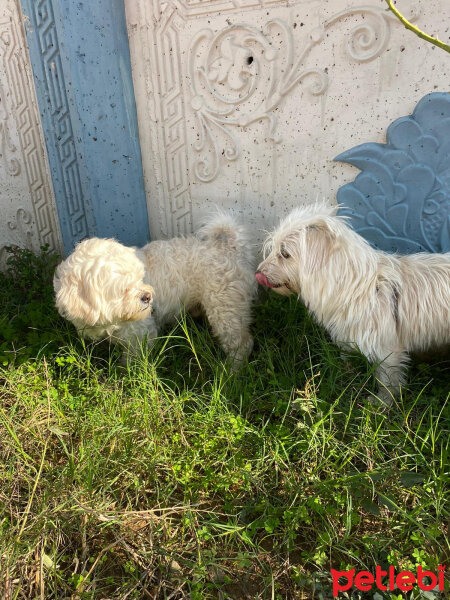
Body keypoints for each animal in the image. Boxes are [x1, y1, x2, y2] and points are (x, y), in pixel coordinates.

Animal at [54, 216, 256, 366]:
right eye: (123, 289)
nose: (147, 296)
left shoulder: (141, 333)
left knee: (242, 343)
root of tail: (229, 247)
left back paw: (232, 370)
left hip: (226, 309)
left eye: (139, 277)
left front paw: (128, 373)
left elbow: (134, 360)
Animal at [255, 204, 448, 406]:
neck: (360, 287)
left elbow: (387, 379)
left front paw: (382, 402)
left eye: (285, 253)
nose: (258, 272)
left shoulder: (387, 351)